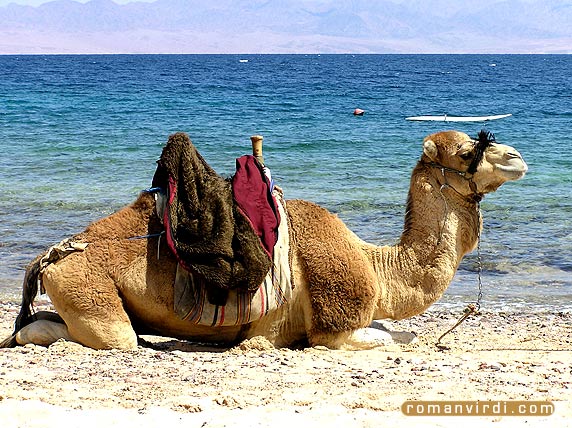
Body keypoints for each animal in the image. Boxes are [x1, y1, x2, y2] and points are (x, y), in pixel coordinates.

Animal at [1, 130, 528, 352]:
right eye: (467, 150)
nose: (516, 156)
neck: (376, 266)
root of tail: (52, 254)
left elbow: (404, 332)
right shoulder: (333, 328)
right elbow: (395, 338)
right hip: (89, 289)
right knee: (112, 337)